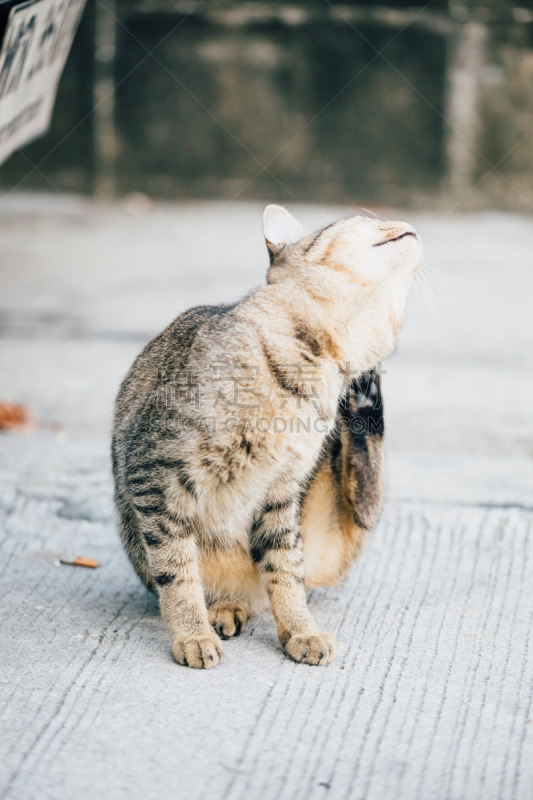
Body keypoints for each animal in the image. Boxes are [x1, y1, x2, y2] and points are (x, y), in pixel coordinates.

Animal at [112, 205, 420, 668]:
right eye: (366, 218)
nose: (406, 222)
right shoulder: (154, 471)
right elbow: (177, 572)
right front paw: (191, 634)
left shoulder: (281, 493)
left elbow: (285, 570)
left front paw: (300, 629)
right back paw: (222, 609)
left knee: (365, 502)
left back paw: (365, 400)